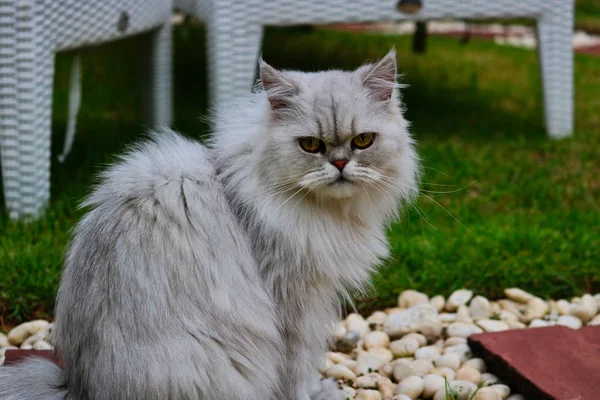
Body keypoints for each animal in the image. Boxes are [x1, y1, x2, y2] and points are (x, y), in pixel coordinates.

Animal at [0, 50, 420, 400]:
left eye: (363, 141)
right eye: (311, 145)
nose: (340, 164)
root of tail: (77, 387)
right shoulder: (295, 306)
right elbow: (296, 374)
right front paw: (313, 394)